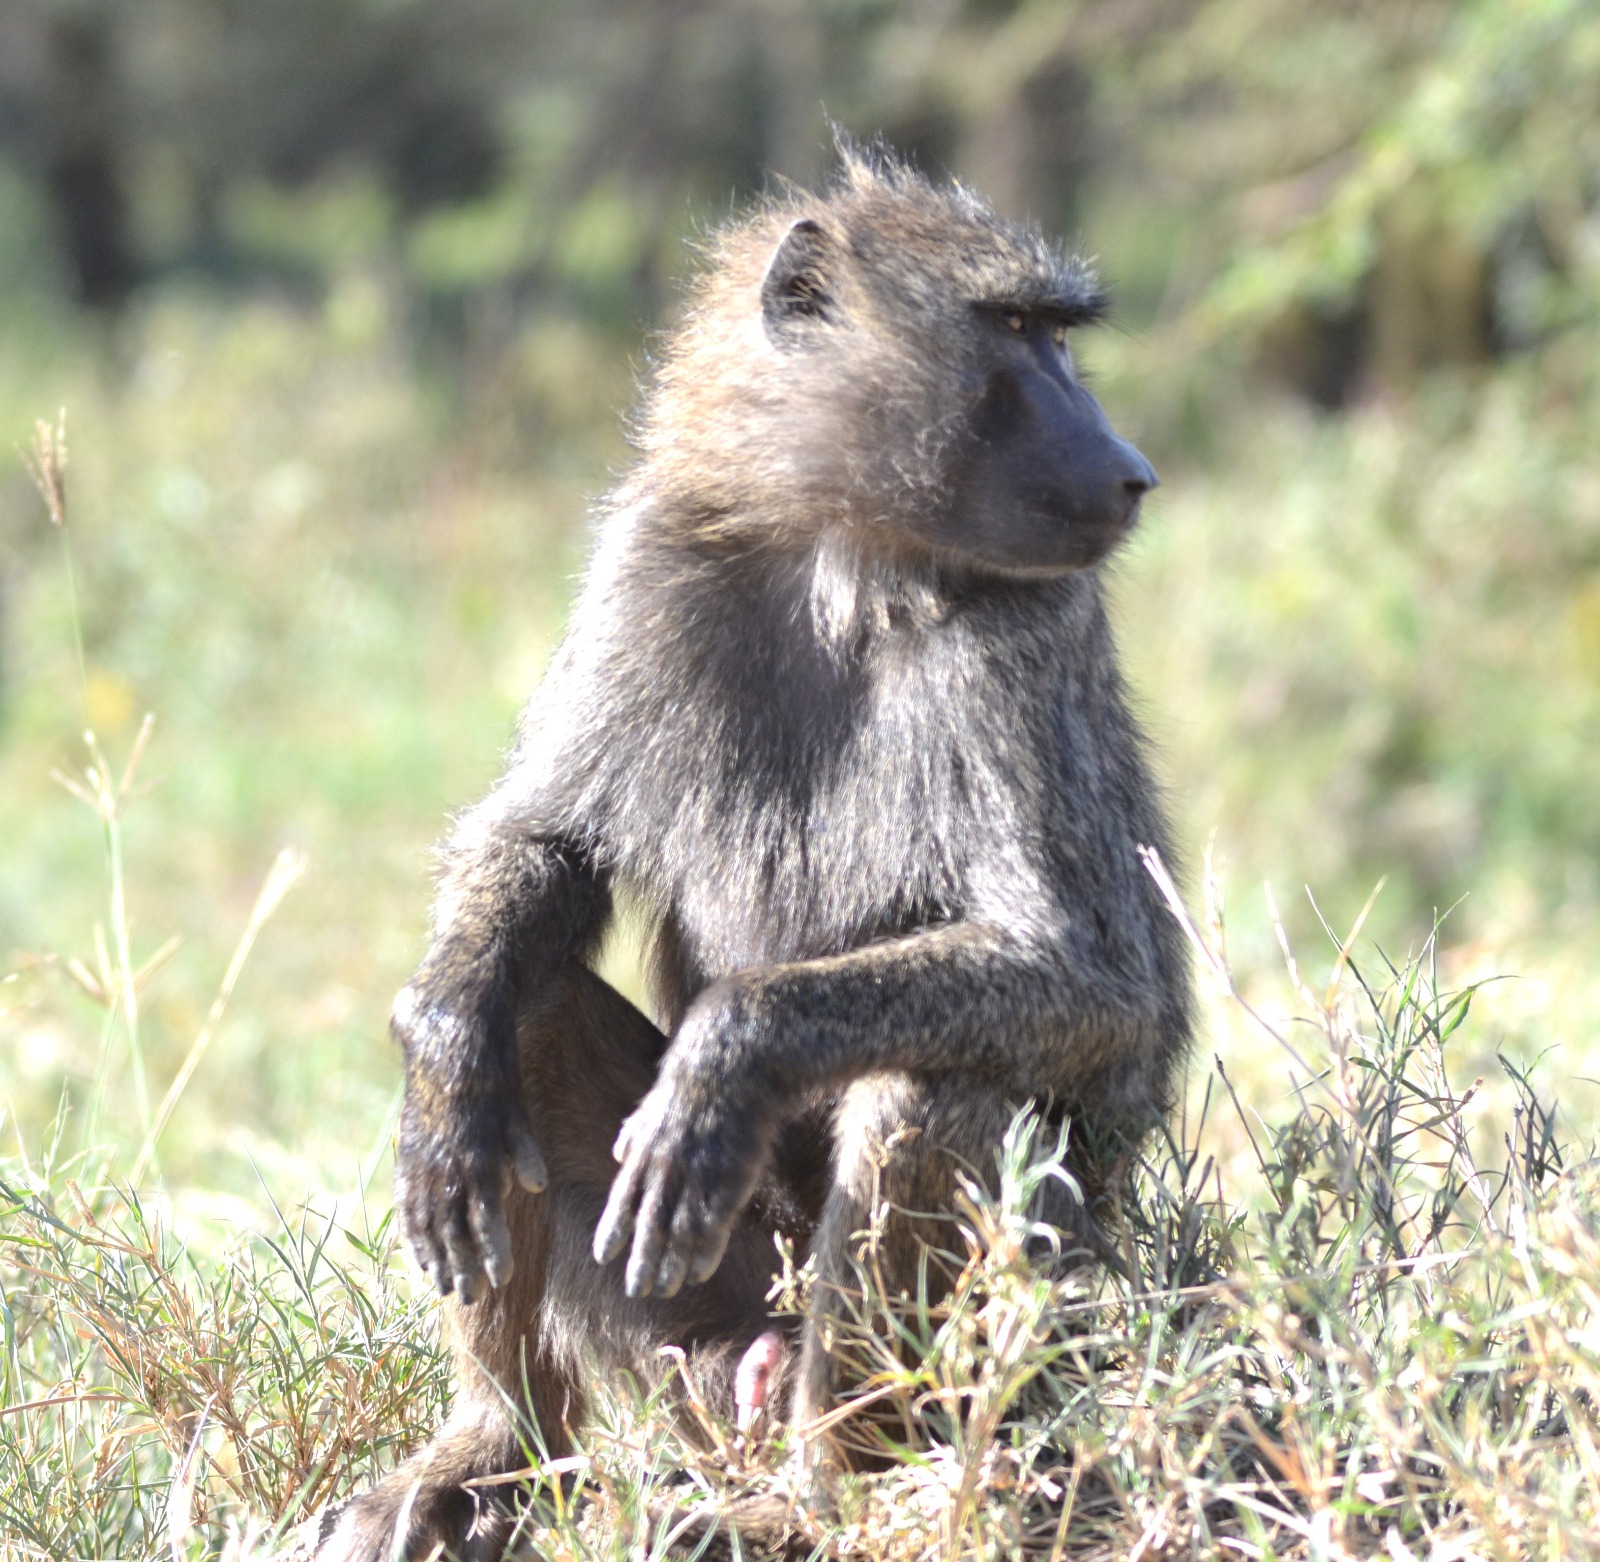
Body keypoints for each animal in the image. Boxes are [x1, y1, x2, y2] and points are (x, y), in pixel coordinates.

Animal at [317, 148, 1193, 1561]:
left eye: (1055, 332)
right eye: (1016, 329)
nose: (1130, 469)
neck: (839, 555)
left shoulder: (1028, 639)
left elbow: (1096, 978)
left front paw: (728, 1052)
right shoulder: (644, 565)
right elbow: (543, 841)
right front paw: (441, 1056)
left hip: (1000, 1322)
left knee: (930, 1094)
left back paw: (829, 1493)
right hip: (693, 1312)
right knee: (530, 1007)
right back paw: (495, 1449)